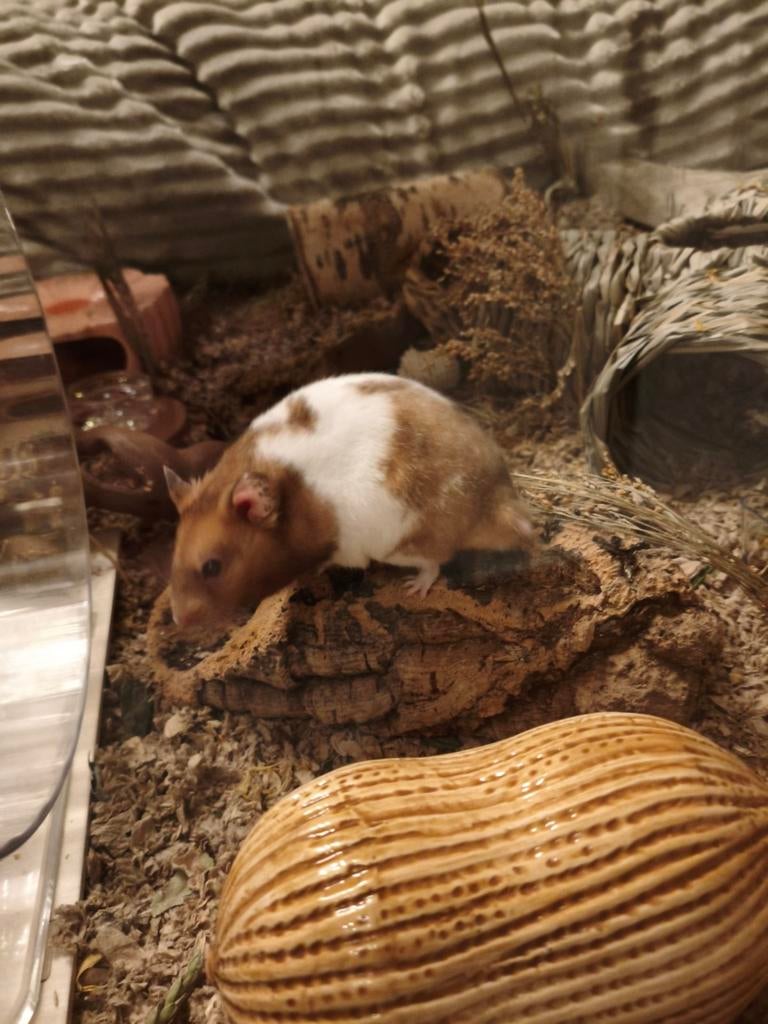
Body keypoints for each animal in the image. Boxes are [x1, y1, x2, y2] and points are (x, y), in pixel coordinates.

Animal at [164, 373, 534, 628]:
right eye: (173, 557)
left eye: (212, 567)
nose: (179, 621)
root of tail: (497, 499)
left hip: (401, 541)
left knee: (435, 562)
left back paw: (413, 588)